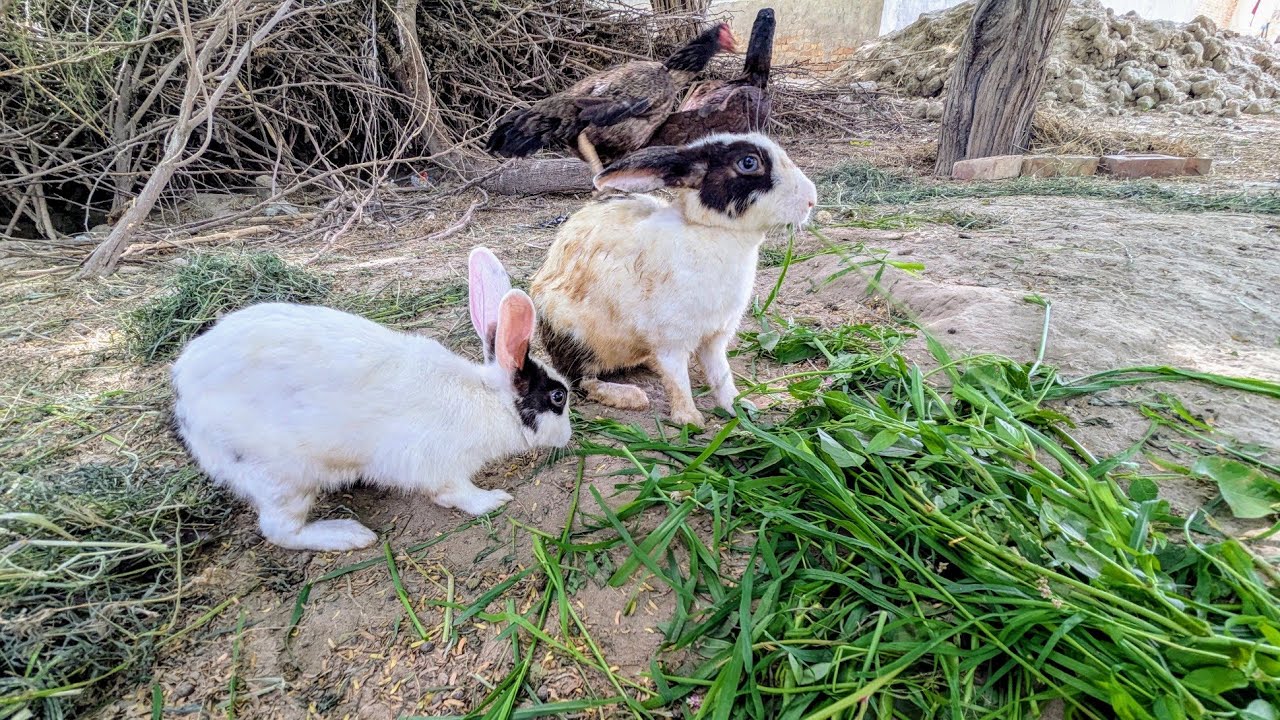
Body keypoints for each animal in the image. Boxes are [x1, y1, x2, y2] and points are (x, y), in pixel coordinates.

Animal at [170, 247, 572, 552]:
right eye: (557, 396)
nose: (568, 436)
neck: (491, 401)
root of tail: (185, 401)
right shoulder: (439, 466)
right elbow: (455, 494)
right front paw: (493, 500)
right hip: (284, 478)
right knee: (281, 530)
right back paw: (349, 536)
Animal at [530, 132, 816, 428]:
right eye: (748, 163)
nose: (811, 200)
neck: (712, 231)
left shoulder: (715, 338)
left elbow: (721, 375)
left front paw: (740, 406)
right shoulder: (672, 340)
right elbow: (678, 380)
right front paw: (690, 420)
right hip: (575, 337)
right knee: (580, 379)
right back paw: (629, 396)